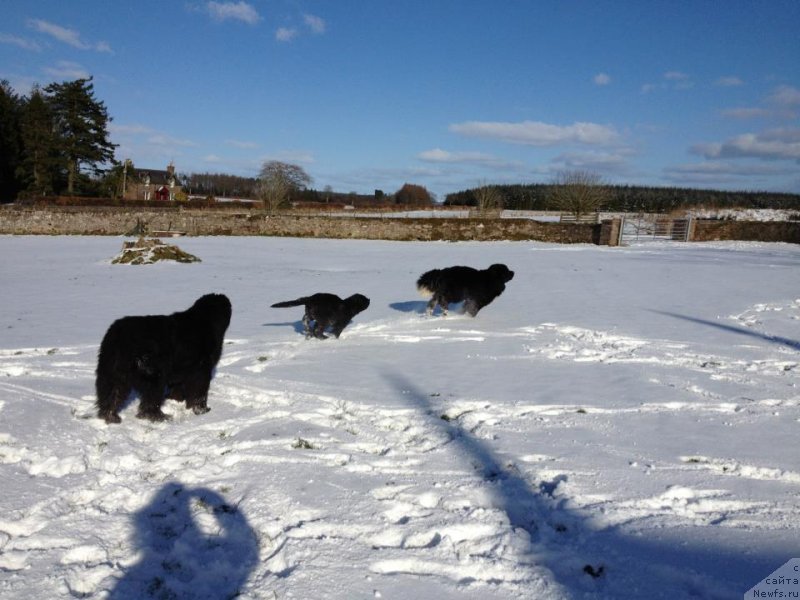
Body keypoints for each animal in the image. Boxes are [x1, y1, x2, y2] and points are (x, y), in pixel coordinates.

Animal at [95, 292, 231, 424]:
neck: (204, 320)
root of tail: (121, 337)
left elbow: (177, 388)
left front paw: (175, 400)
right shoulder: (201, 369)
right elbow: (199, 391)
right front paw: (202, 410)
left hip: (112, 371)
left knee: (112, 394)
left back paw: (110, 416)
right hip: (153, 374)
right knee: (150, 400)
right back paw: (159, 417)